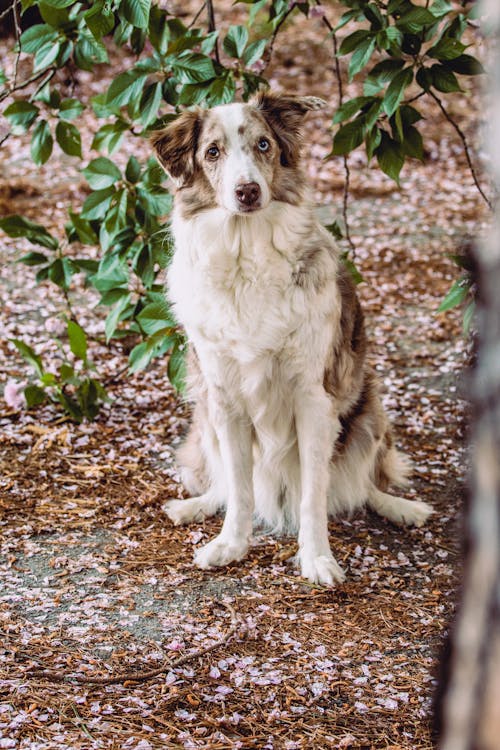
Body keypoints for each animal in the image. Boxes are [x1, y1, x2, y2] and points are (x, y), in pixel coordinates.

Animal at [153, 94, 434, 588]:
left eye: (263, 144)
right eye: (212, 152)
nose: (248, 192)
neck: (246, 252)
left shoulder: (313, 398)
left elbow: (313, 495)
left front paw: (317, 558)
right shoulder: (225, 398)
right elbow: (240, 487)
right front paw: (232, 544)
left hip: (369, 411)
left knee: (364, 482)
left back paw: (401, 507)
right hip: (204, 415)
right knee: (224, 482)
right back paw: (196, 505)